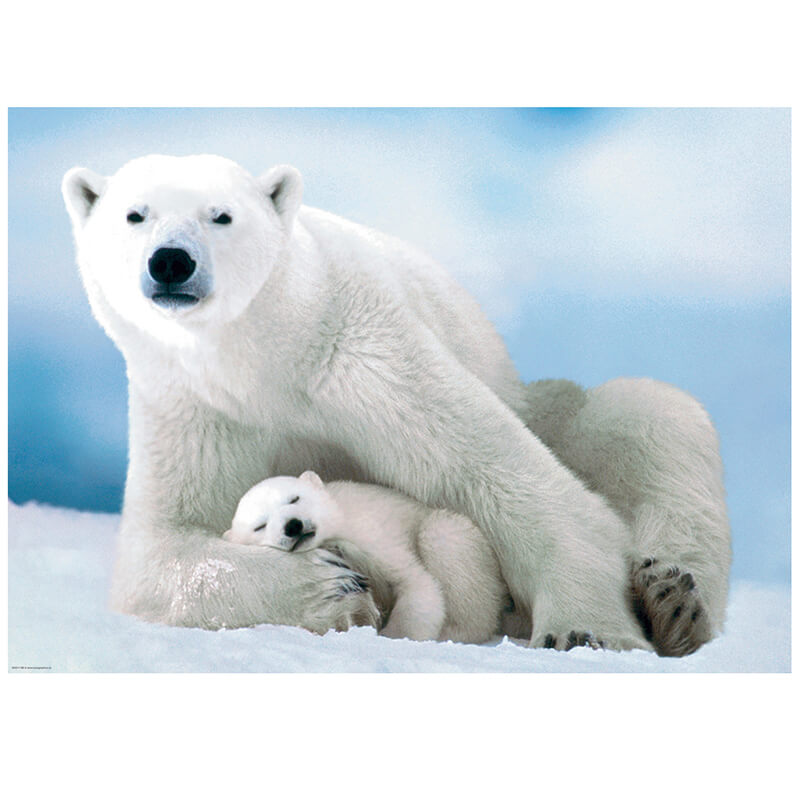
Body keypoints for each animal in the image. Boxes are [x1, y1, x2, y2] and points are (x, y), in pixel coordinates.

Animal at [223, 471, 509, 644]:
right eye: (260, 525)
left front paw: (395, 636)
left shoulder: (371, 534)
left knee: (442, 533)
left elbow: (415, 583)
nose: (293, 526)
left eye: (294, 498)